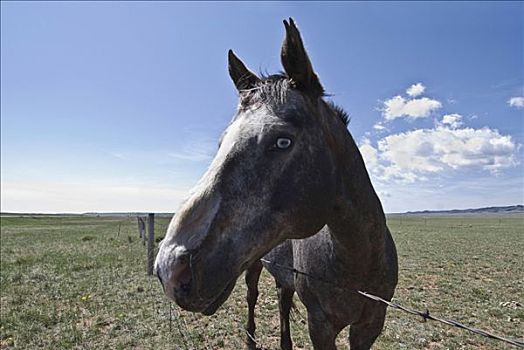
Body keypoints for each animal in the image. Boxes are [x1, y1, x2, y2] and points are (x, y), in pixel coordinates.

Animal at [155, 17, 398, 348]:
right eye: (221, 143)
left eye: (282, 141)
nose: (170, 269)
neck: (358, 261)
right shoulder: (320, 325)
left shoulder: (370, 325)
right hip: (253, 266)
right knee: (253, 296)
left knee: (283, 299)